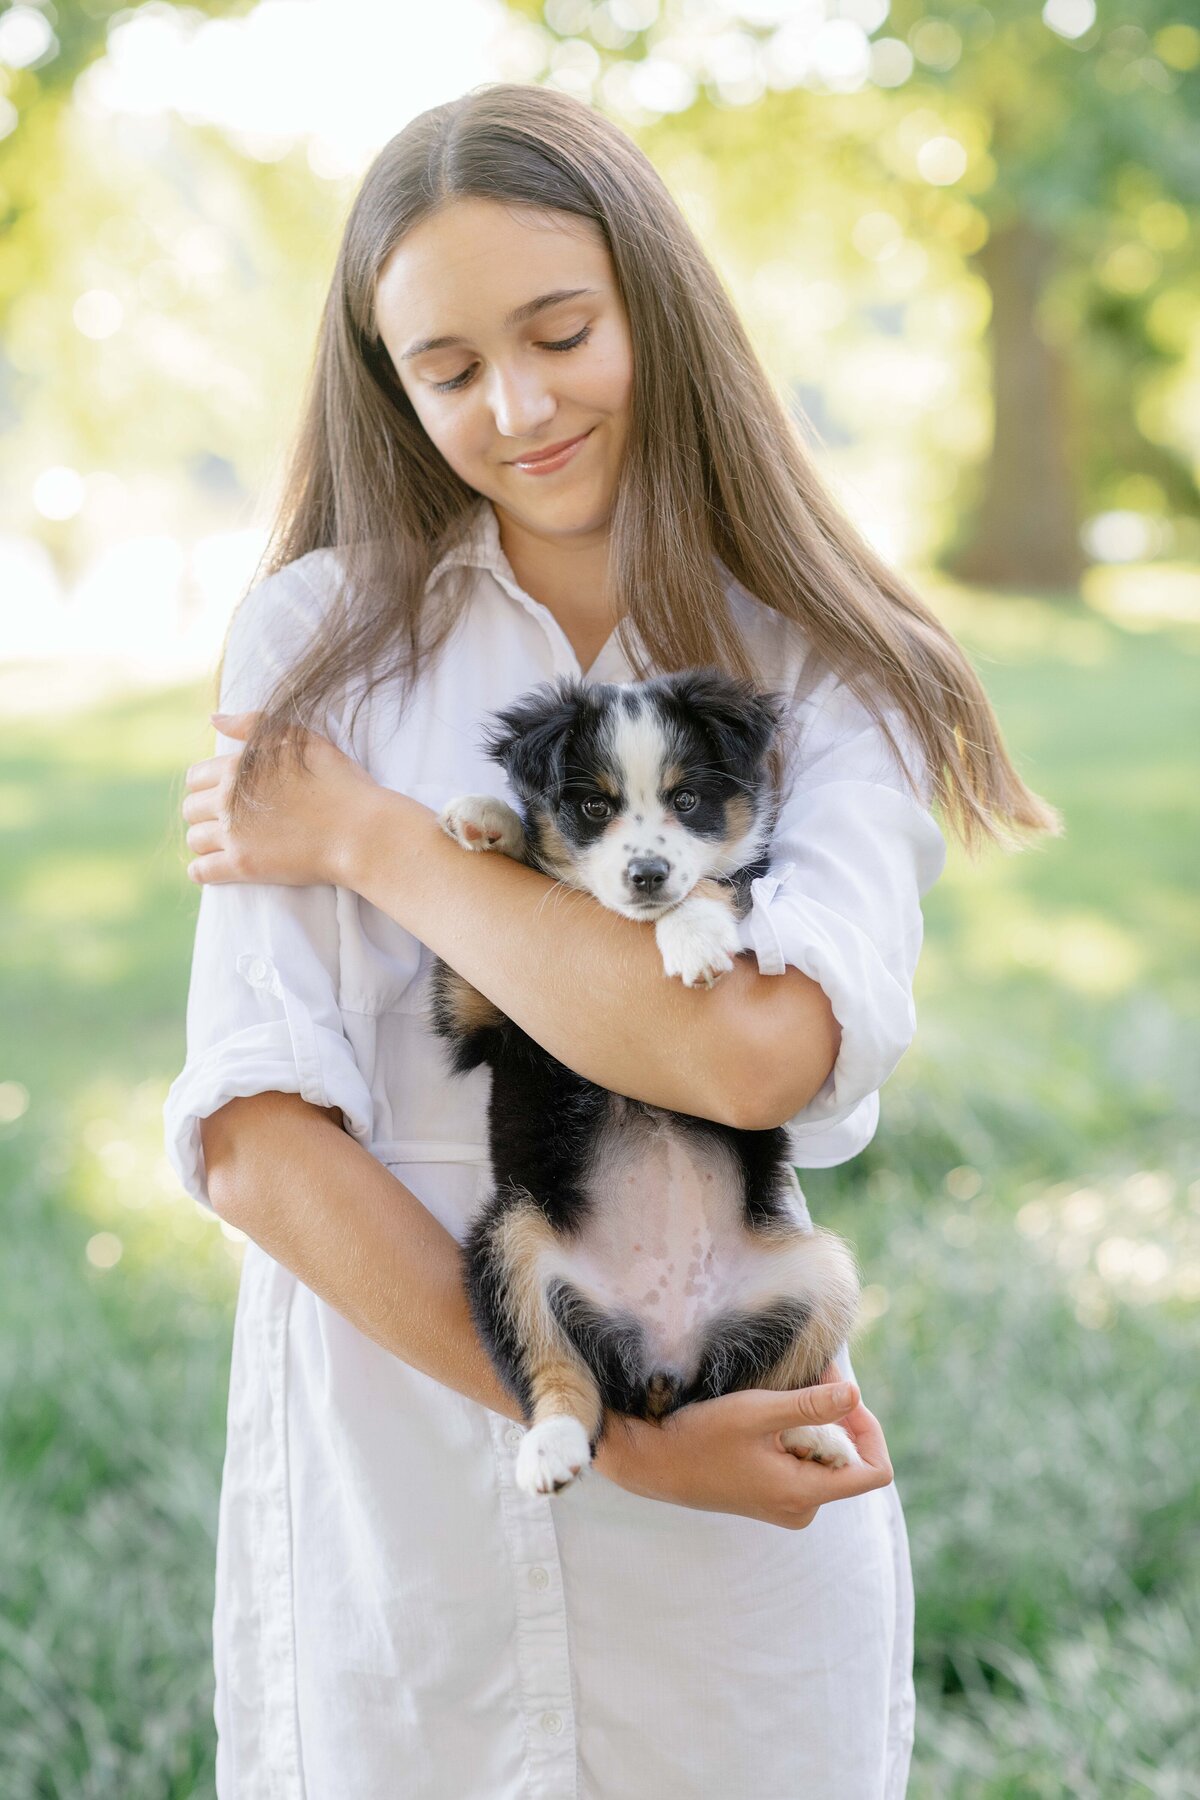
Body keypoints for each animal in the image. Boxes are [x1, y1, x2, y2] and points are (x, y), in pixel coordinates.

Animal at [426, 669, 859, 1497]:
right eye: (594, 807)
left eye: (687, 799)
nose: (647, 876)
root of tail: (663, 1362)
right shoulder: (490, 1012)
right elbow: (496, 928)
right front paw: (493, 820)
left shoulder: (750, 893)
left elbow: (721, 883)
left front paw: (691, 939)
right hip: (512, 1236)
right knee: (555, 1368)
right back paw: (552, 1446)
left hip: (819, 1271)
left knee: (762, 1384)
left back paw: (814, 1433)